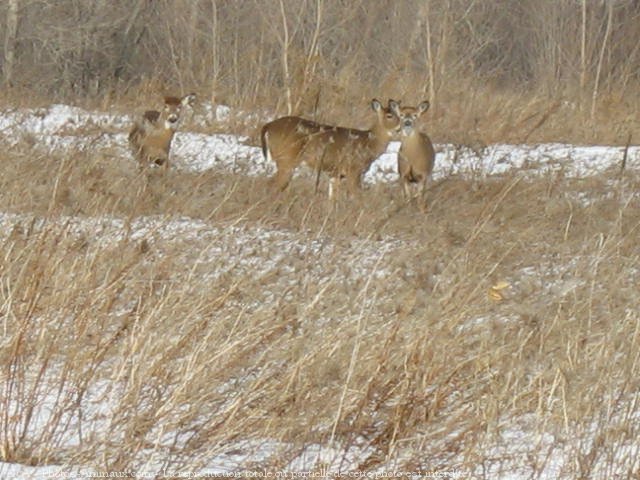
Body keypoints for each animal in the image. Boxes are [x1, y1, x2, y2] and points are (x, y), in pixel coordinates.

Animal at [258, 99, 400, 197]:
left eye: (400, 115)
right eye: (389, 116)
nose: (401, 126)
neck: (369, 143)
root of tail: (268, 126)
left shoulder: (335, 173)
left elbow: (332, 199)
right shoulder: (353, 170)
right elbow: (357, 197)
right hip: (286, 159)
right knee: (272, 185)